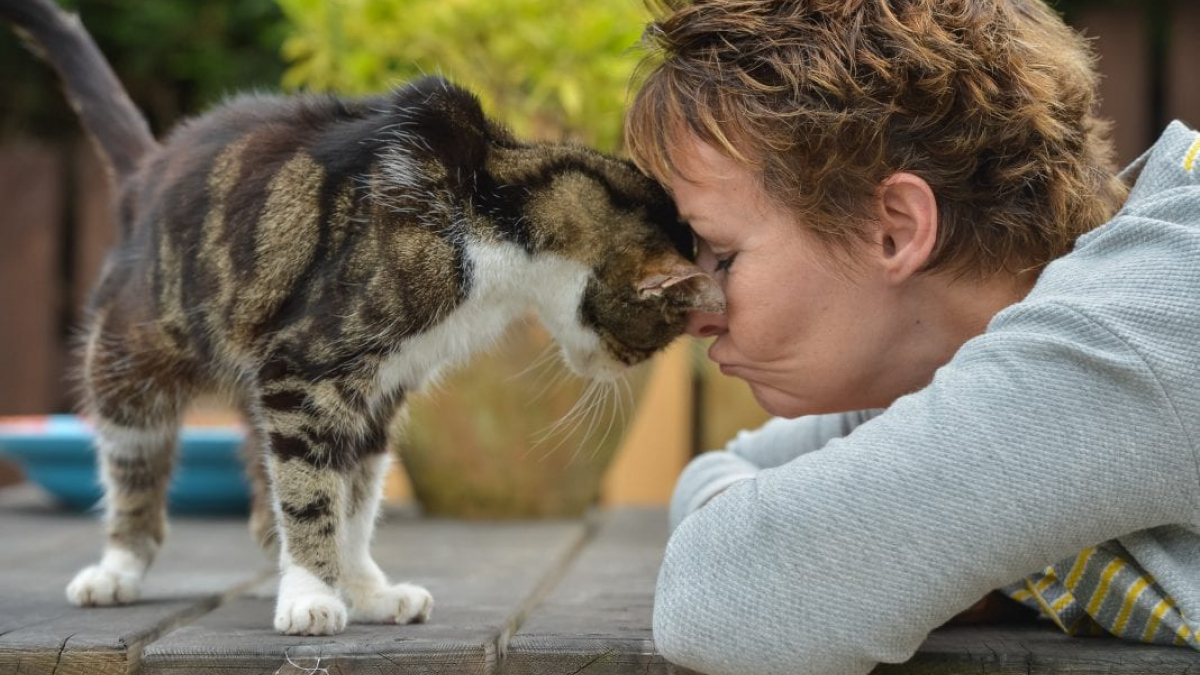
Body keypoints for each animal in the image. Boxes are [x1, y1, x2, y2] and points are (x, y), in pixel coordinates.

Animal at [0, 0, 720, 634]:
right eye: (655, 336)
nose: (618, 370)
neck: (495, 207)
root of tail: (146, 171)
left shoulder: (379, 391)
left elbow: (355, 501)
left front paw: (365, 590)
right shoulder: (305, 374)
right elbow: (313, 492)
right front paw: (313, 596)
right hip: (131, 364)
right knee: (136, 468)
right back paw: (116, 569)